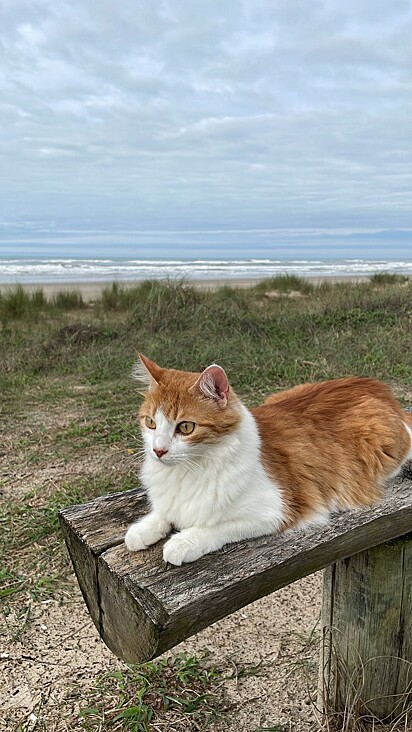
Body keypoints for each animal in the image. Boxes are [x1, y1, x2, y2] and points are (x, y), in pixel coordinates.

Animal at [124, 354, 412, 568]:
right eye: (150, 423)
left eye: (185, 427)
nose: (158, 450)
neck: (187, 471)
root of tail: (375, 385)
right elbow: (163, 512)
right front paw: (143, 529)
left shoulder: (275, 511)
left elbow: (215, 527)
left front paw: (183, 542)